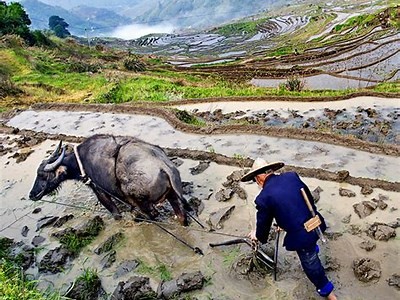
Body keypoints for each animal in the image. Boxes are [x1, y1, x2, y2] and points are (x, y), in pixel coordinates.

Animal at [28, 134, 191, 225]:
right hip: (172, 196)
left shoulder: (99, 190)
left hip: (142, 202)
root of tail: (164, 166)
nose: (32, 195)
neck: (80, 162)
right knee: (181, 216)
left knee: (153, 215)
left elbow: (115, 213)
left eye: (42, 175)